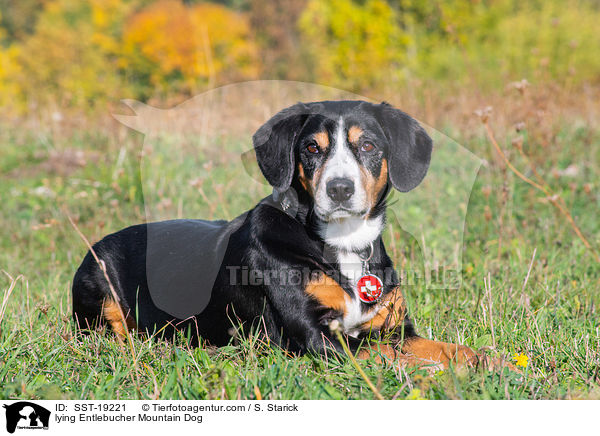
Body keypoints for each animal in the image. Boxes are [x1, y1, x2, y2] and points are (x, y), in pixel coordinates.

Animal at [72, 100, 480, 370]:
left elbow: (447, 348)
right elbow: (384, 354)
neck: (342, 244)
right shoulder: (314, 337)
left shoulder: (393, 327)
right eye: (311, 147)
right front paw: (432, 374)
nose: (340, 189)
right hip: (101, 288)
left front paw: (484, 362)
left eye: (367, 145)